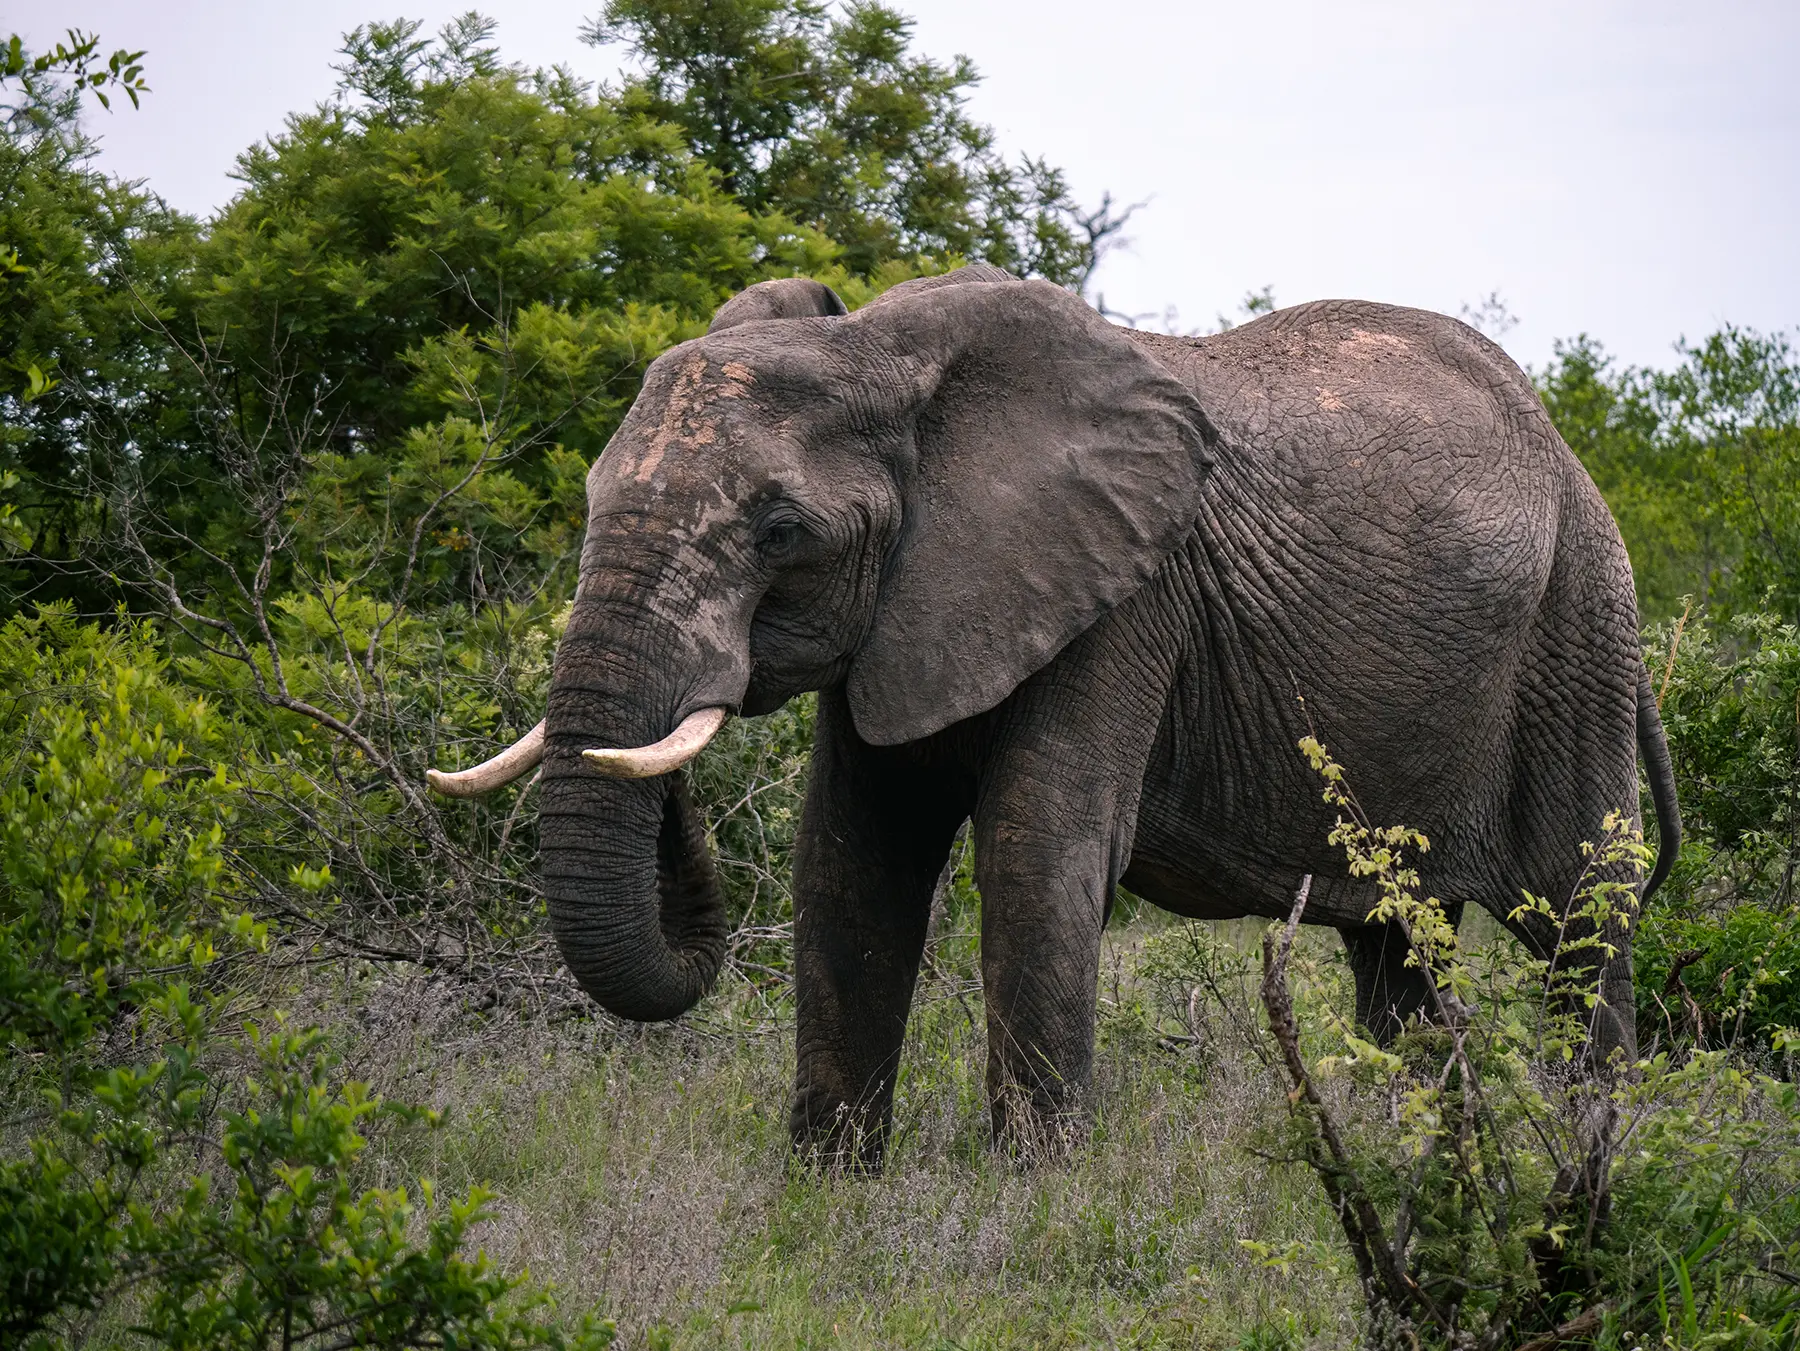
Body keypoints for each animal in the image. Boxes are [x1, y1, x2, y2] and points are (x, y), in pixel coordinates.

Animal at [428, 263, 1679, 1163]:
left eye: (779, 531)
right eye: (591, 496)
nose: (679, 744)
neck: (884, 349)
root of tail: (1575, 456)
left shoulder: (1128, 595)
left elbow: (1037, 844)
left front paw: (1035, 1195)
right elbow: (851, 854)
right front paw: (828, 1189)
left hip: (1580, 622)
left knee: (1577, 907)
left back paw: (1599, 1150)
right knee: (1395, 946)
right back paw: (1424, 1158)